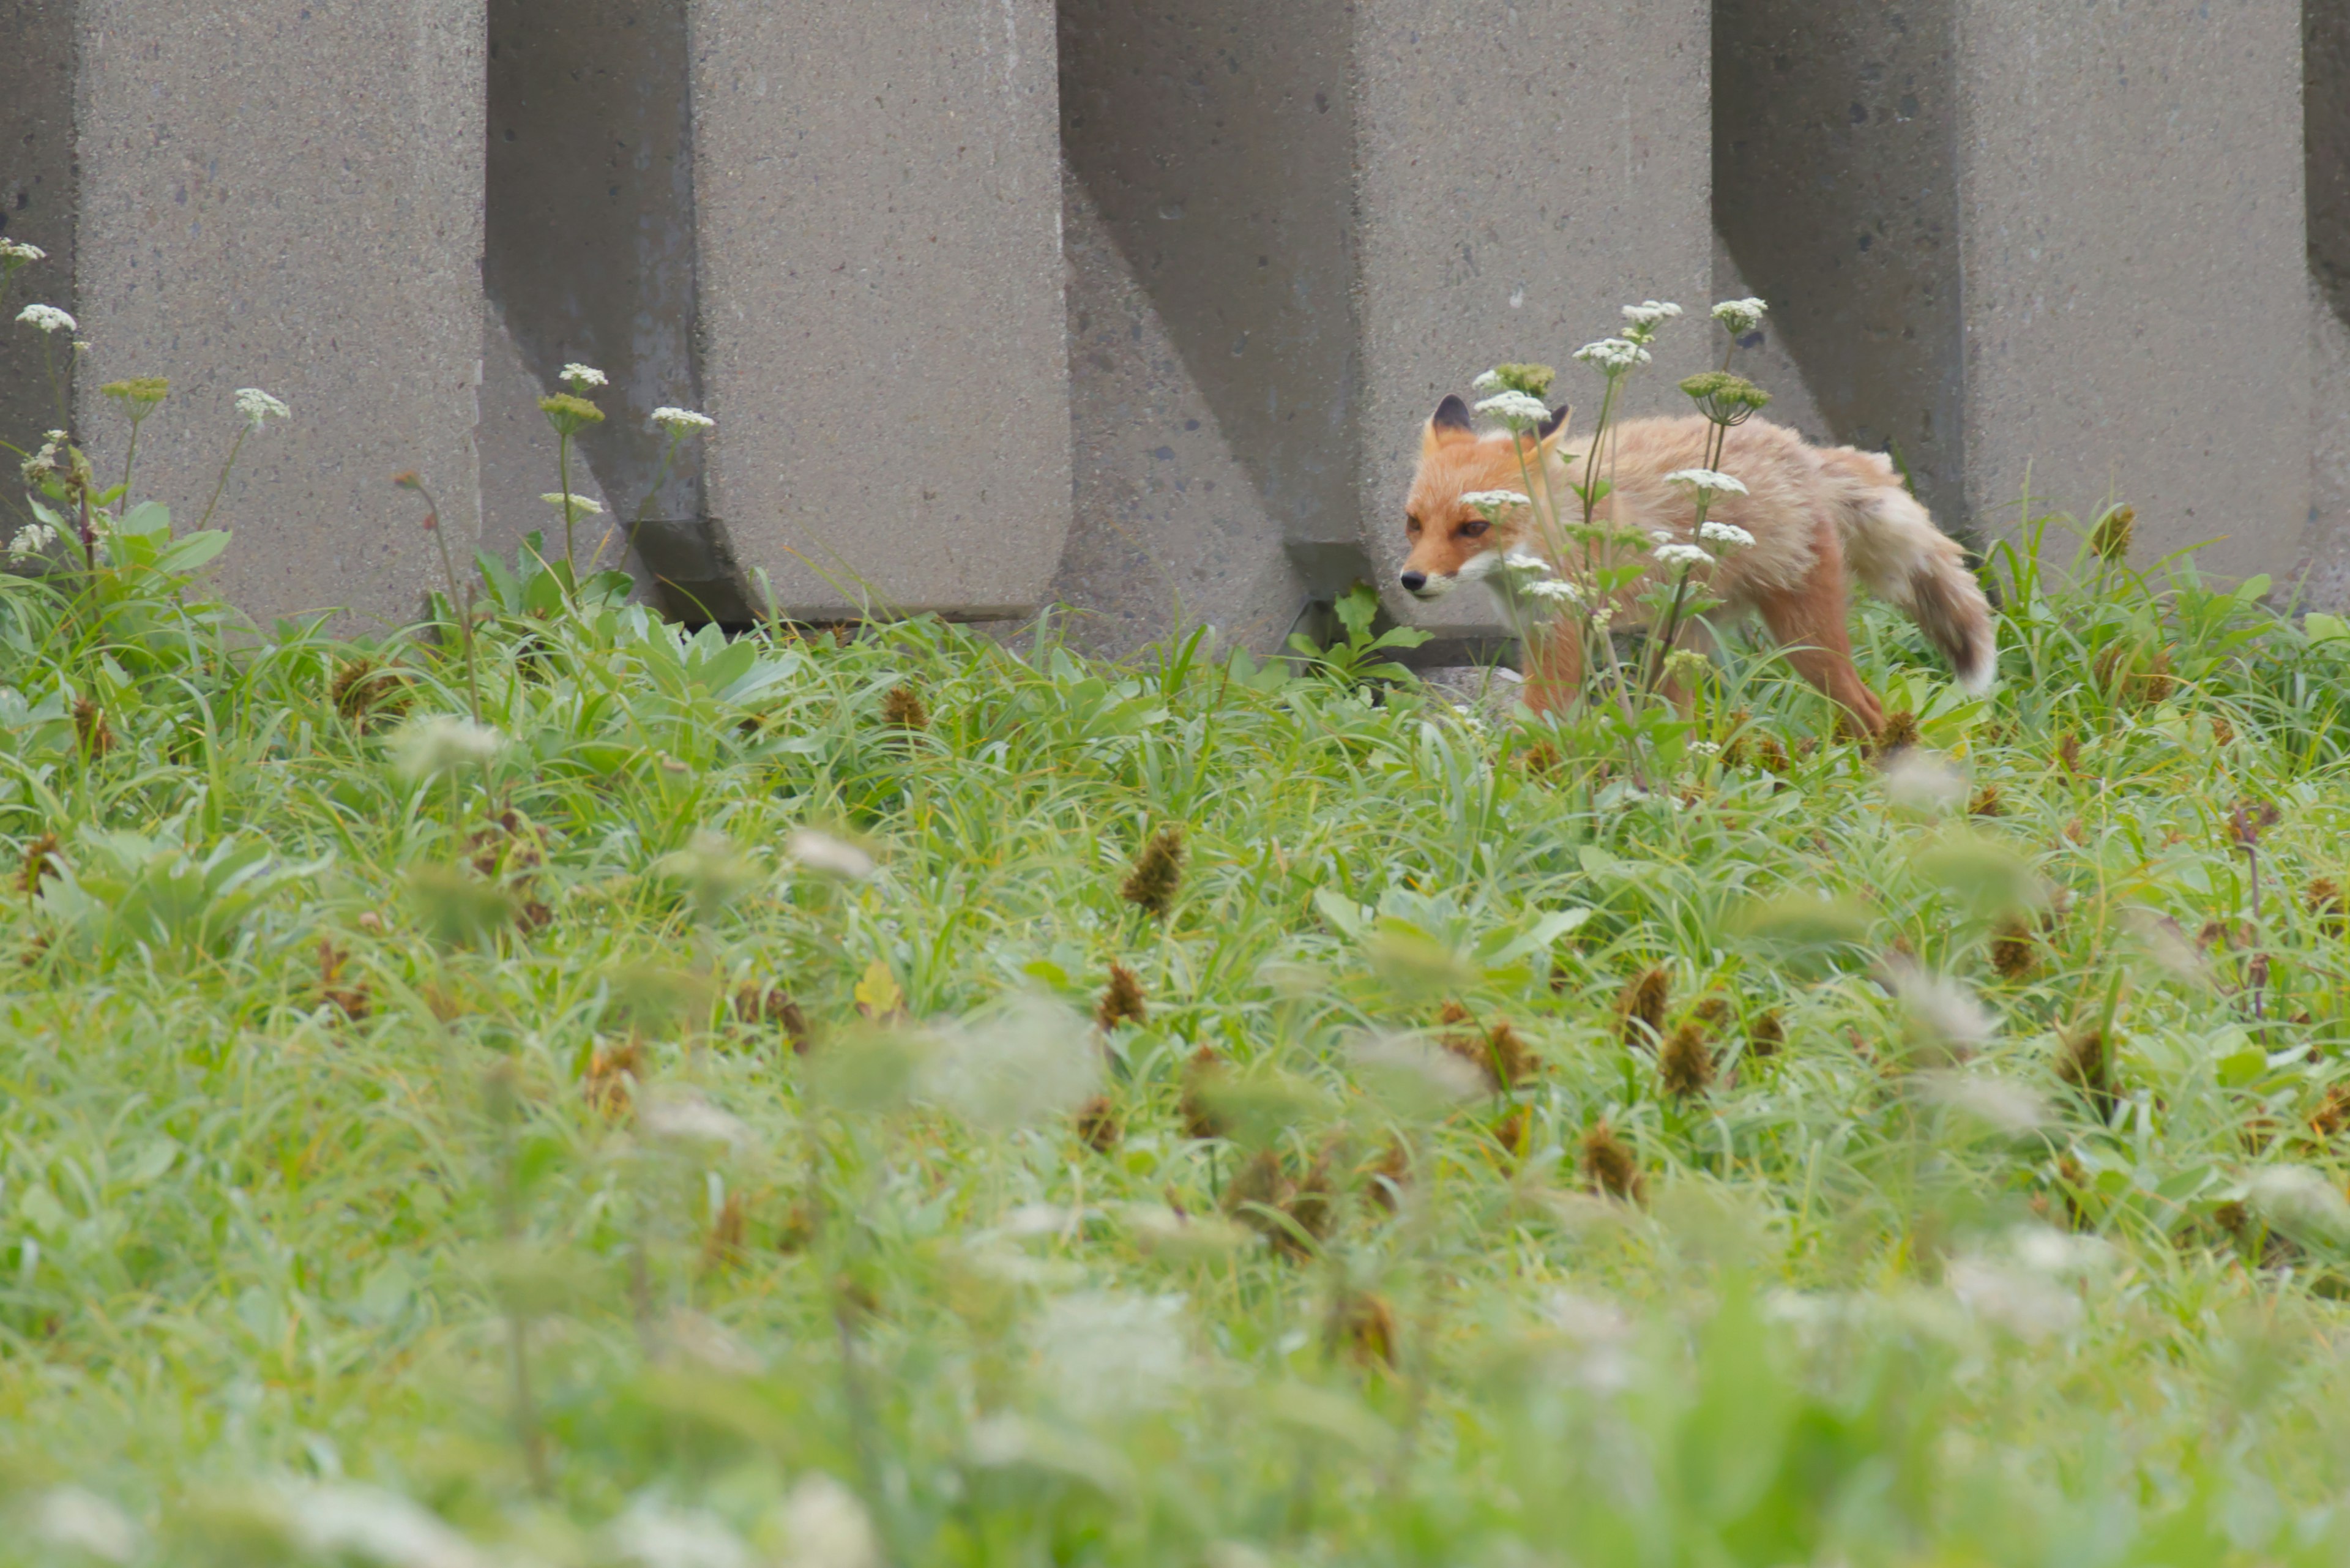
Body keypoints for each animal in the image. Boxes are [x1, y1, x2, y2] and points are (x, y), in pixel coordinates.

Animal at [1400, 392, 1993, 738]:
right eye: (1414, 523)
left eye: (1473, 527)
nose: (1411, 580)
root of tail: (1800, 449)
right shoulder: (1536, 633)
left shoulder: (1564, 635)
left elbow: (1536, 730)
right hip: (1682, 644)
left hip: (1805, 644)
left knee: (1869, 707)